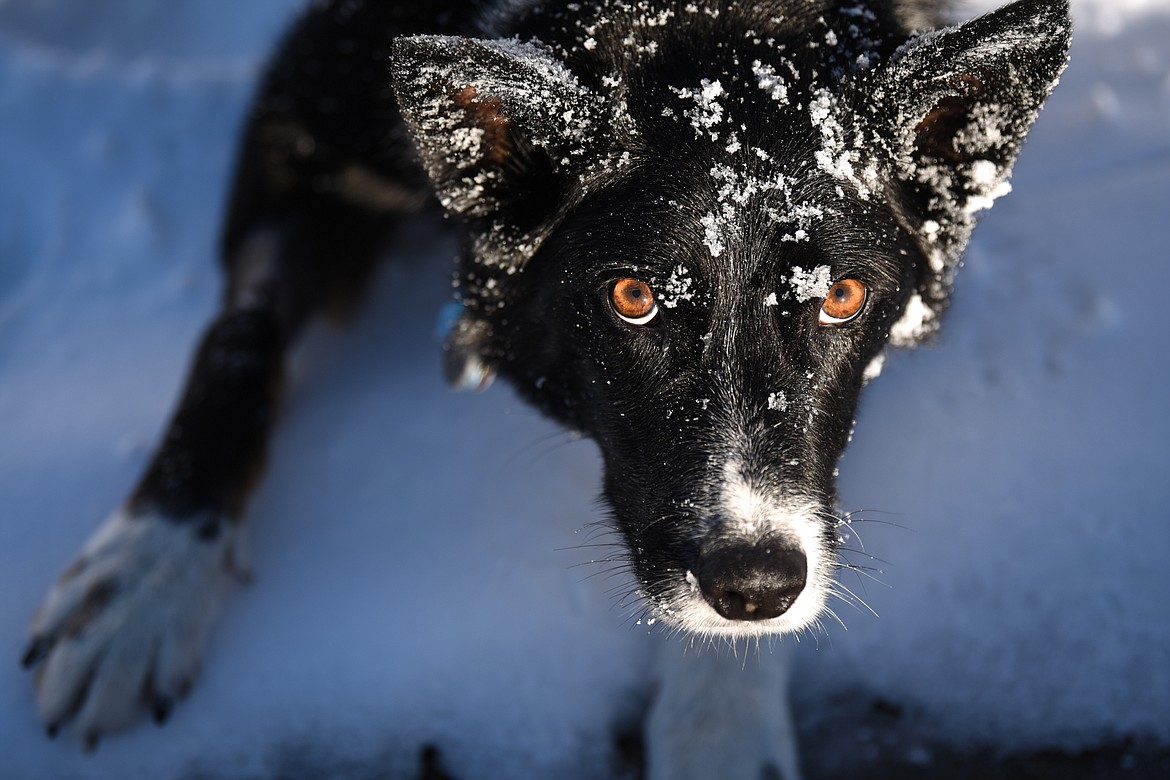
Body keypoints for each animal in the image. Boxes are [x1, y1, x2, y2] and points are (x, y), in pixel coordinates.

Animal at [25, 1, 1071, 776]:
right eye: (632, 297)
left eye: (843, 296)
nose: (755, 587)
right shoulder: (303, 119)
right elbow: (238, 340)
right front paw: (145, 578)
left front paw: (718, 722)